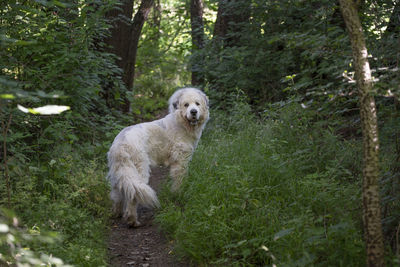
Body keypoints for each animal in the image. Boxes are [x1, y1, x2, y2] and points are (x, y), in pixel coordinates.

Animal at [108, 89, 211, 227]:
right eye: (186, 105)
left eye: (197, 104)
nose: (193, 112)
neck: (181, 122)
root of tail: (121, 142)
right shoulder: (180, 162)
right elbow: (179, 180)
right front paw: (178, 194)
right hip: (139, 171)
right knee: (133, 196)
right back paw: (132, 221)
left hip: (120, 172)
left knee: (117, 194)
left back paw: (117, 213)